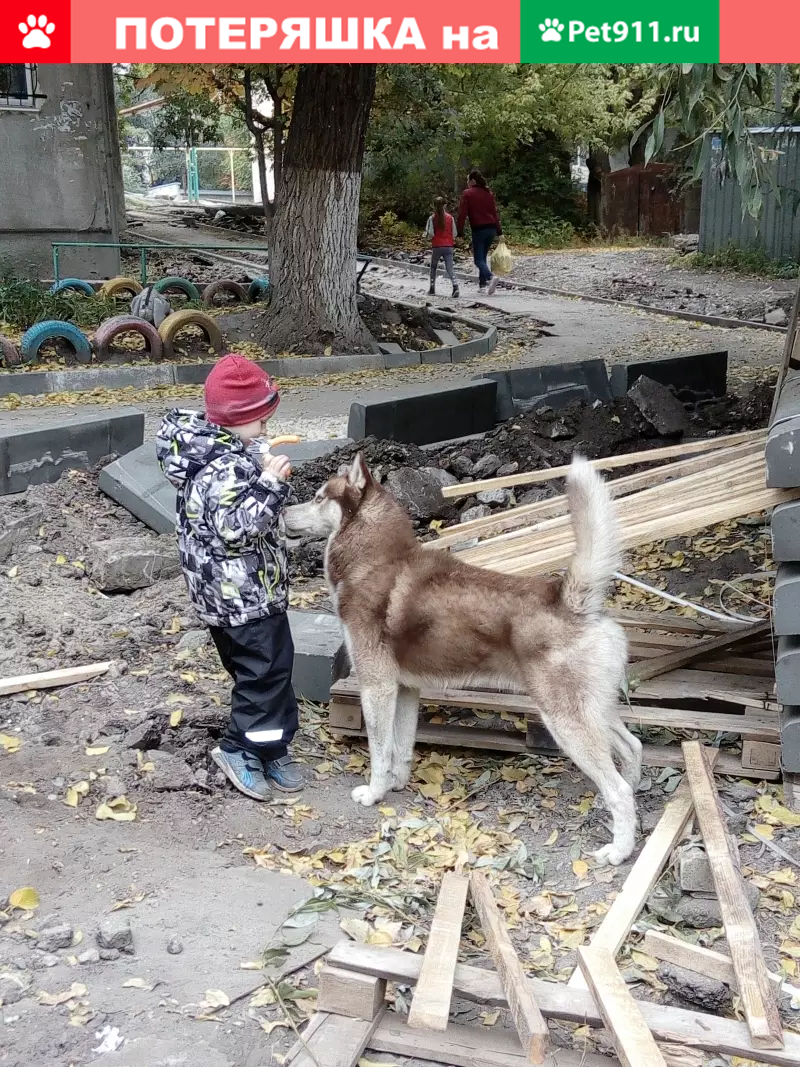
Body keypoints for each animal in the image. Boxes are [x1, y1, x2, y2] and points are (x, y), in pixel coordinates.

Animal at [285, 454, 644, 862]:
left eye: (317, 498)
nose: (281, 511)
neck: (375, 560)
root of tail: (569, 599)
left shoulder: (377, 687)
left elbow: (380, 750)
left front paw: (374, 793)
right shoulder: (405, 689)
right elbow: (401, 749)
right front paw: (396, 785)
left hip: (566, 723)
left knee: (619, 790)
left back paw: (619, 850)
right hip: (595, 713)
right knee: (632, 751)